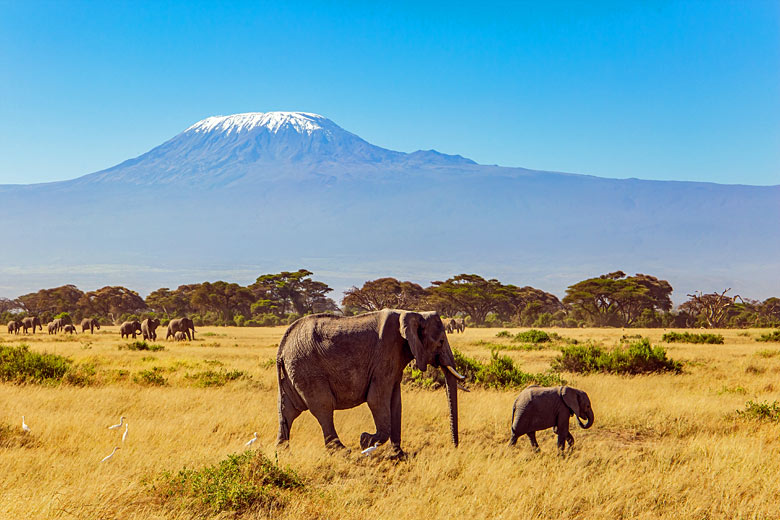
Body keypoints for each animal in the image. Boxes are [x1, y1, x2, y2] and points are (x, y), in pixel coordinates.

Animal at [278, 310, 466, 458]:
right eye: (441, 342)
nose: (455, 447)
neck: (415, 314)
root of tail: (282, 348)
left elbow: (396, 402)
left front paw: (399, 455)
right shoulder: (385, 355)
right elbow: (376, 400)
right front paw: (365, 441)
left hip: (293, 371)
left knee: (288, 410)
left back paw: (283, 452)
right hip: (308, 369)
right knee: (323, 406)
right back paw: (342, 451)